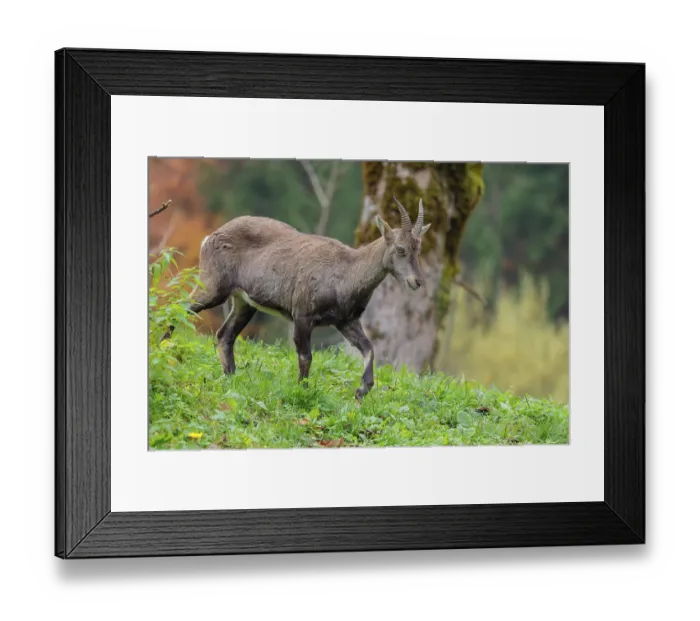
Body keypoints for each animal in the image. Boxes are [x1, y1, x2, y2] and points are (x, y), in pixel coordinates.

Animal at [164, 197, 431, 399]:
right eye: (400, 249)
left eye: (418, 248)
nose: (417, 281)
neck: (346, 272)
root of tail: (209, 238)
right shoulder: (303, 314)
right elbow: (306, 356)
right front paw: (302, 390)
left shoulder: (345, 321)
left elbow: (369, 349)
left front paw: (362, 389)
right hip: (213, 286)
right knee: (179, 306)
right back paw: (164, 347)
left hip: (244, 302)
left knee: (224, 335)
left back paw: (231, 377)